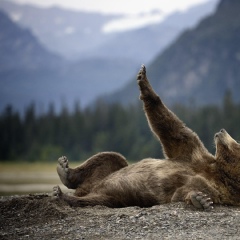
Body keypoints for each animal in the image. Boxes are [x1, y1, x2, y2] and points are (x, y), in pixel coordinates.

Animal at [53, 64, 240, 209]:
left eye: (237, 144)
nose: (222, 130)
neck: (218, 170)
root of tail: (87, 189)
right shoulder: (193, 153)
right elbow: (173, 130)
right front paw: (143, 78)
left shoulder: (215, 188)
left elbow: (181, 192)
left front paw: (200, 199)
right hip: (106, 174)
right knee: (112, 158)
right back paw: (65, 170)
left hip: (114, 197)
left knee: (93, 200)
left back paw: (62, 195)